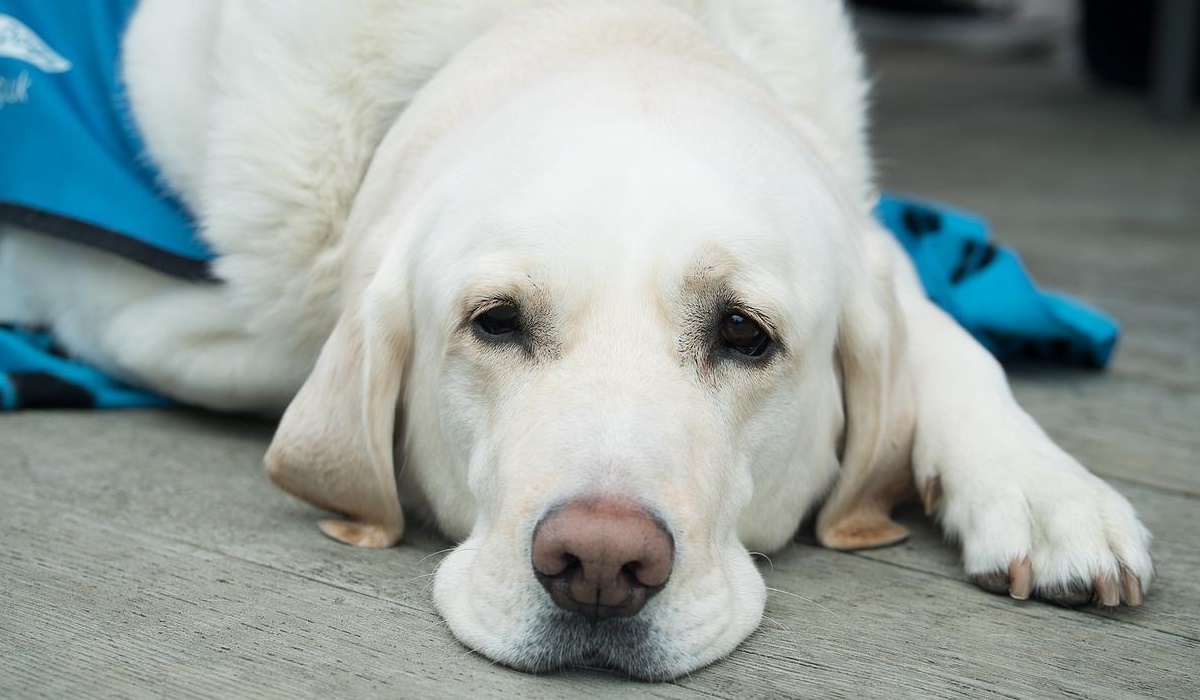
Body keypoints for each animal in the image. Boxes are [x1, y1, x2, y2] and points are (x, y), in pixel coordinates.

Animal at [0, 0, 1152, 681]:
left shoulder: (872, 242)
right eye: (496, 322)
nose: (599, 562)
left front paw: (1045, 491)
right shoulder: (152, 310)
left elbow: (947, 338)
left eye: (744, 333)